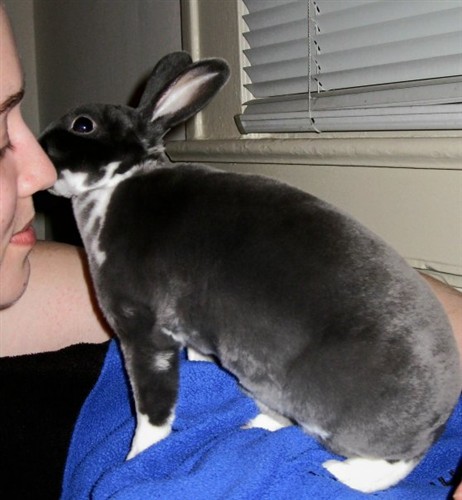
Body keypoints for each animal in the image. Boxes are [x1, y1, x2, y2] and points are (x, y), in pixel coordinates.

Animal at [39, 51, 461, 493]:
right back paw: (253, 425)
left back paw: (337, 471)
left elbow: (152, 410)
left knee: (389, 463)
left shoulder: (142, 333)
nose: (37, 146)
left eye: (82, 125)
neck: (117, 181)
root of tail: (436, 420)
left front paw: (137, 455)